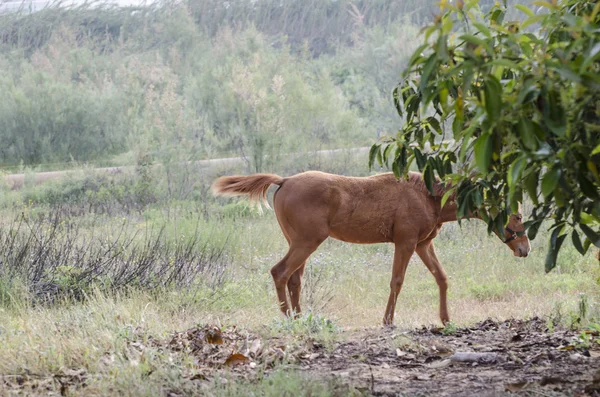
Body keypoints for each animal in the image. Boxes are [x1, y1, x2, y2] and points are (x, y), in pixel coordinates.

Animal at [211, 171, 528, 324]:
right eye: (518, 216)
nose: (525, 249)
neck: (430, 195)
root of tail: (283, 180)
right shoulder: (405, 242)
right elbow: (397, 281)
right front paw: (387, 320)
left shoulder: (423, 244)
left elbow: (442, 277)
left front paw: (445, 318)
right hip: (306, 242)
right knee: (280, 272)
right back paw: (289, 318)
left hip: (299, 243)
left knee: (294, 279)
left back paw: (300, 318)